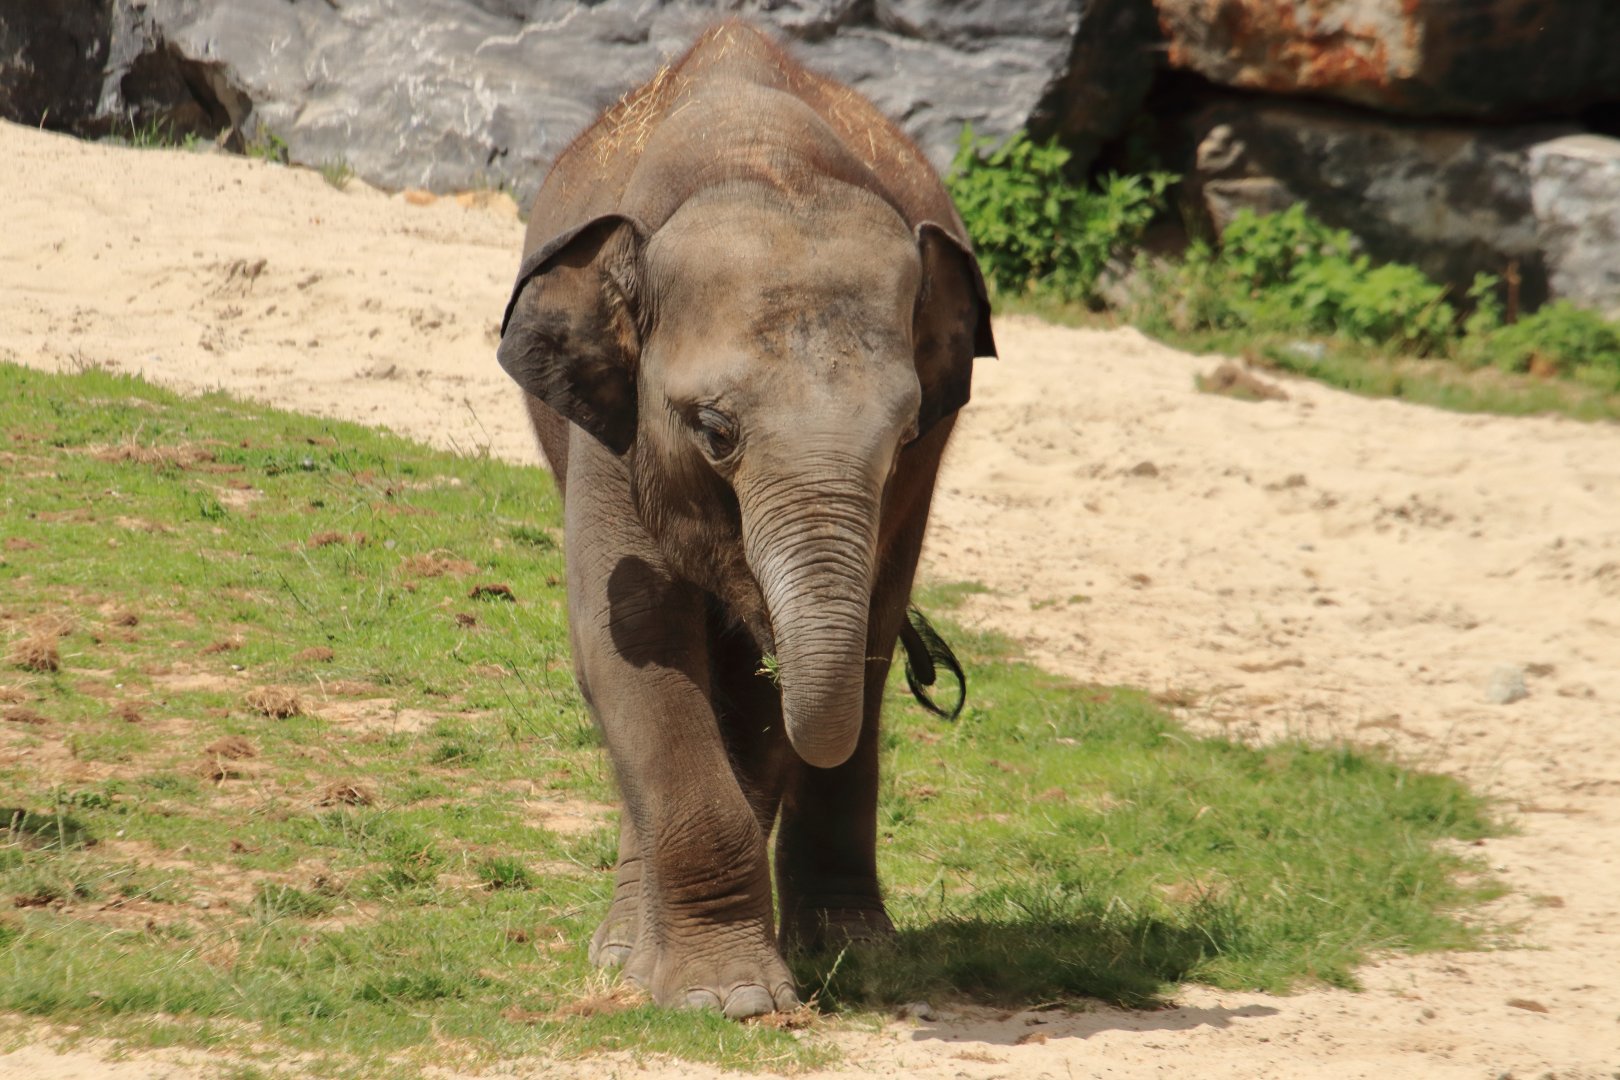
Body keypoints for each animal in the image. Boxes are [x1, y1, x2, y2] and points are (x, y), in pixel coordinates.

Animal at [496, 19, 996, 1020]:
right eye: (716, 431)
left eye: (902, 435)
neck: (766, 162)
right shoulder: (614, 429)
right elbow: (629, 643)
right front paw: (723, 1000)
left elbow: (788, 697)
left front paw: (741, 985)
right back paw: (624, 952)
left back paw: (850, 950)